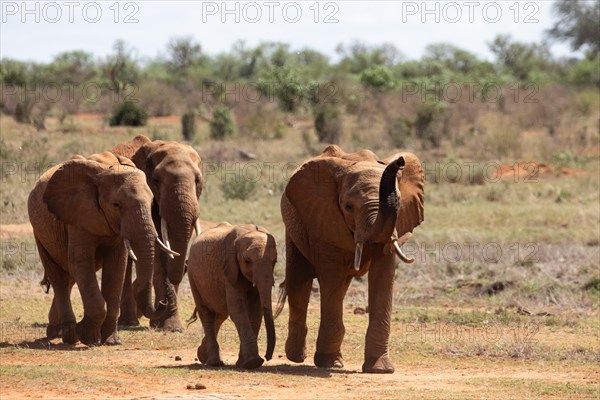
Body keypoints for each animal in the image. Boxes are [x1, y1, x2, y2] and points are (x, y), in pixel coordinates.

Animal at [28, 152, 177, 346]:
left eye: (152, 202)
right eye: (116, 205)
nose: (163, 302)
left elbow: (116, 266)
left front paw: (112, 341)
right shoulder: (77, 215)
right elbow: (81, 262)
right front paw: (89, 337)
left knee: (69, 276)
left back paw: (57, 332)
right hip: (39, 232)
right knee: (59, 276)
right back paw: (68, 335)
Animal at [112, 135, 204, 332]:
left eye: (197, 180)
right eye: (155, 180)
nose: (187, 265)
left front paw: (170, 327)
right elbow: (159, 251)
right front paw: (171, 327)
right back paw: (129, 322)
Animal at [189, 222, 278, 368]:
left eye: (274, 261)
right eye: (247, 261)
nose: (267, 357)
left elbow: (255, 312)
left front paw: (244, 363)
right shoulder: (229, 270)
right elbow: (238, 310)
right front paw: (253, 362)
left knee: (220, 315)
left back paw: (202, 356)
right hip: (193, 278)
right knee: (206, 313)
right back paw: (214, 363)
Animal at [278, 145, 424, 374]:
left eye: (400, 204)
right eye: (348, 207)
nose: (399, 161)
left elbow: (383, 276)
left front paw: (380, 369)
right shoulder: (324, 219)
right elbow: (332, 276)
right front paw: (327, 364)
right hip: (294, 225)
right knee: (300, 281)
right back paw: (297, 357)